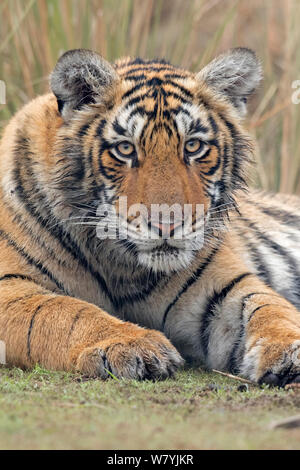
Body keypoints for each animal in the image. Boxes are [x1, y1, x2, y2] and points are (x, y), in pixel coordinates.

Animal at [0, 46, 300, 388]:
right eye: (125, 149)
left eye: (193, 146)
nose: (167, 225)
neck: (121, 267)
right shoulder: (9, 287)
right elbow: (63, 312)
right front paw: (132, 345)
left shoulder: (224, 287)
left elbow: (269, 309)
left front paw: (290, 349)